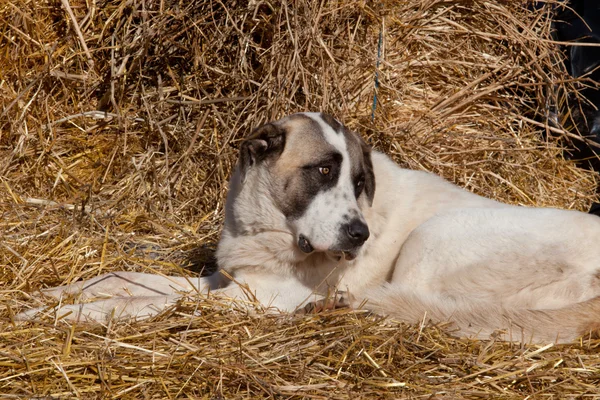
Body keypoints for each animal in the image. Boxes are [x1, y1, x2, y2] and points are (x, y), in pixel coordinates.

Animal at [18, 112, 600, 344]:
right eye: (322, 171)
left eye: (360, 181)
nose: (360, 236)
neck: (268, 230)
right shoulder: (226, 282)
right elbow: (124, 279)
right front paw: (55, 295)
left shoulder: (257, 299)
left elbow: (143, 303)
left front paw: (72, 315)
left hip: (430, 242)